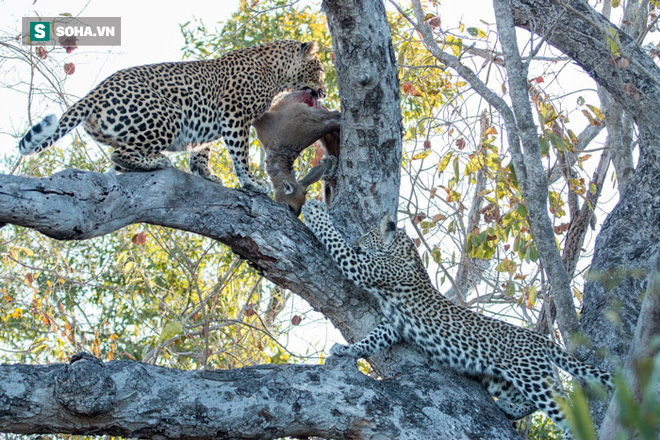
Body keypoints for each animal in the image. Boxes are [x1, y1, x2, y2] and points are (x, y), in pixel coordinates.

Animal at [19, 40, 328, 192]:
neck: (277, 74)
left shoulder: (213, 125)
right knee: (120, 154)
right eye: (320, 69)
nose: (324, 91)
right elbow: (240, 154)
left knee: (118, 160)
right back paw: (157, 161)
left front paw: (207, 175)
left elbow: (201, 152)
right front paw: (251, 182)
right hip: (167, 116)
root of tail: (95, 92)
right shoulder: (234, 115)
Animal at [302, 199, 612, 436]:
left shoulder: (363, 267)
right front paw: (348, 350)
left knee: (564, 406)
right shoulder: (394, 325)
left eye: (367, 235)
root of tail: (538, 338)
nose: (357, 240)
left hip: (532, 375)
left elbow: (334, 240)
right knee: (529, 402)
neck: (405, 252)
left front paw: (314, 211)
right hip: (500, 378)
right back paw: (507, 408)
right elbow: (373, 338)